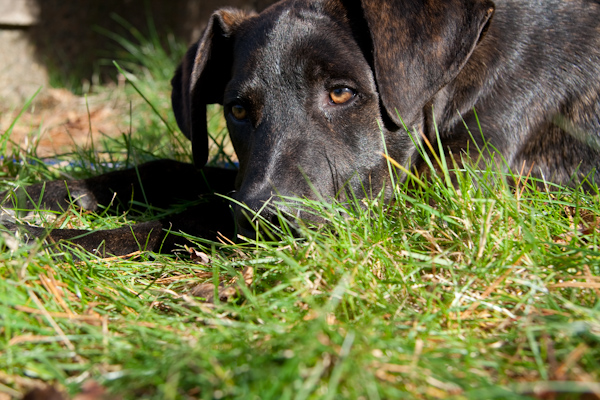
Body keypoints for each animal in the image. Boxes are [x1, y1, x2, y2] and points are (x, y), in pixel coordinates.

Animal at [3, 0, 600, 256]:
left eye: (342, 92)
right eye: (238, 110)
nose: (269, 220)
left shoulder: (433, 204)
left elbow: (187, 218)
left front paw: (43, 235)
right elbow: (179, 172)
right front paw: (52, 189)